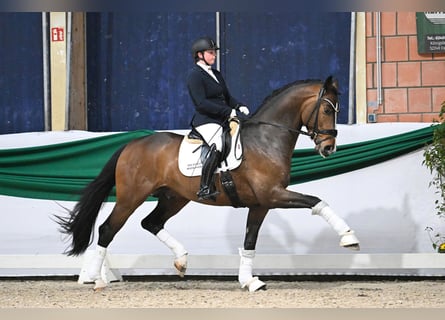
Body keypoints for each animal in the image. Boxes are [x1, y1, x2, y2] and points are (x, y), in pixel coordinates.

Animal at [56, 75, 360, 292]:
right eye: (326, 109)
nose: (329, 148)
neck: (266, 140)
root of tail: (132, 144)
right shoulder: (274, 195)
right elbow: (317, 202)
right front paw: (349, 237)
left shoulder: (261, 204)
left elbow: (250, 241)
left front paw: (250, 281)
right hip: (132, 196)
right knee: (108, 229)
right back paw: (96, 279)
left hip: (174, 197)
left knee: (151, 222)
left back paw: (181, 260)